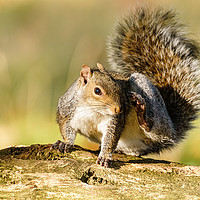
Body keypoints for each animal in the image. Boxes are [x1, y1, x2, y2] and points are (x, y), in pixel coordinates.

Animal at [51, 7, 200, 167]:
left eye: (119, 87)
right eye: (97, 90)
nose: (119, 109)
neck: (92, 109)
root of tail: (173, 128)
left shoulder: (113, 121)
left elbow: (110, 139)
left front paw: (105, 156)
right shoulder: (66, 111)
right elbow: (66, 130)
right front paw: (65, 143)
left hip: (153, 106)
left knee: (156, 132)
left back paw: (141, 112)